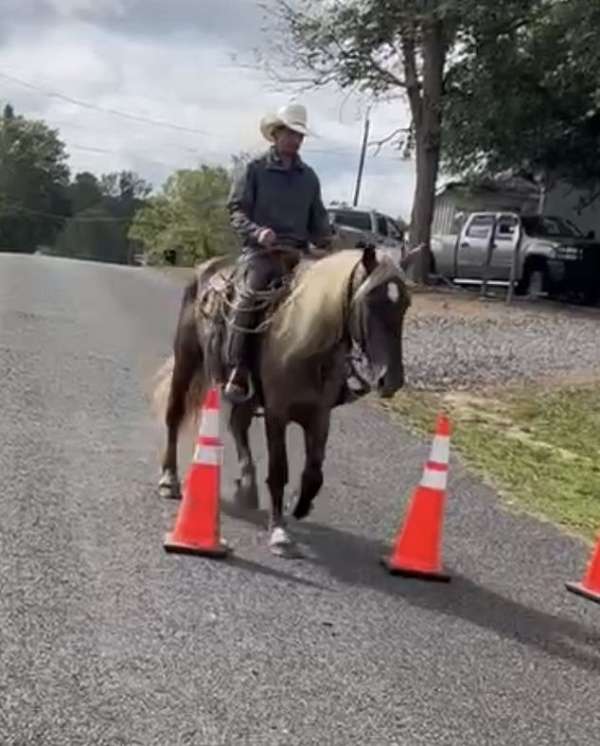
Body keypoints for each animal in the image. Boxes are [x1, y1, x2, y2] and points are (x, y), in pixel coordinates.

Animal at [154, 244, 418, 560]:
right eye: (369, 301)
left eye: (405, 304)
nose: (390, 380)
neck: (304, 344)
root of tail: (206, 269)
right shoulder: (276, 414)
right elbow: (279, 470)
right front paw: (279, 532)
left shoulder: (319, 416)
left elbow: (314, 473)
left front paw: (299, 505)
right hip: (187, 360)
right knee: (174, 415)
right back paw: (169, 480)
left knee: (238, 426)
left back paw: (247, 487)